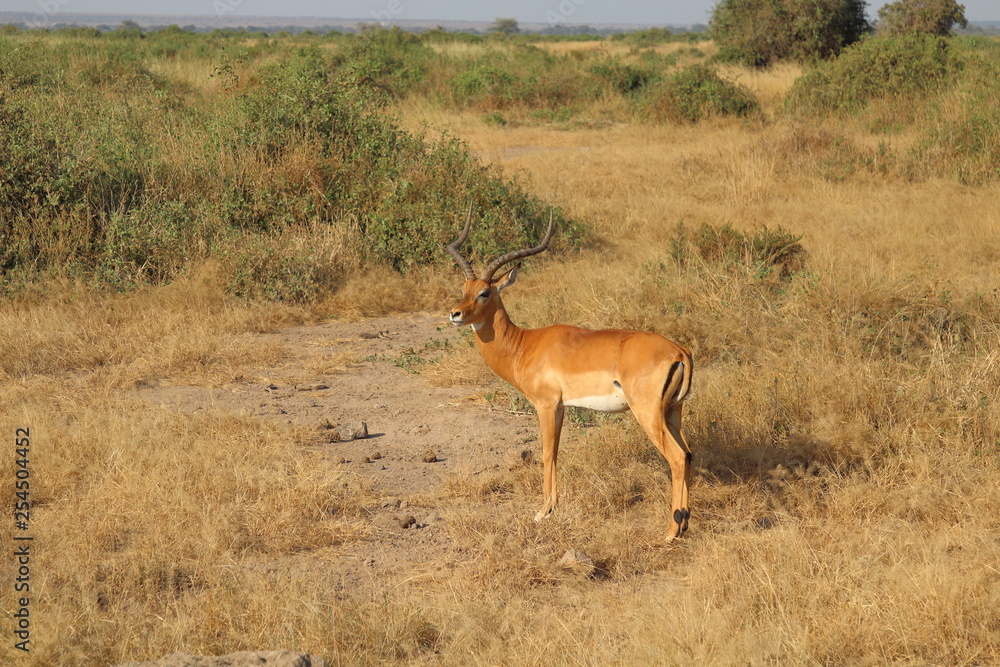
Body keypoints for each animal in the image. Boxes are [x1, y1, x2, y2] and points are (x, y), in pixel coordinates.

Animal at [447, 205, 695, 538]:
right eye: (464, 289)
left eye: (485, 292)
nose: (455, 314)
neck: (524, 344)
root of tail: (679, 351)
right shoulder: (561, 407)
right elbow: (557, 452)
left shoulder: (545, 405)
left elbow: (546, 453)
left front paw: (542, 512)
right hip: (672, 411)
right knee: (688, 453)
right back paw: (684, 523)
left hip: (648, 414)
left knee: (677, 457)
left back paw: (670, 531)